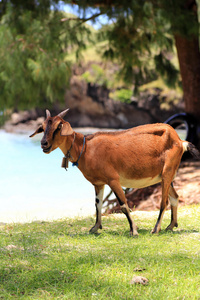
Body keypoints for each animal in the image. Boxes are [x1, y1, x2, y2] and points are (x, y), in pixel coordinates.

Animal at [30, 109, 200, 236]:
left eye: (59, 127)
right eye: (42, 127)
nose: (44, 143)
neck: (85, 148)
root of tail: (180, 141)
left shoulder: (113, 179)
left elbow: (124, 205)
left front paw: (133, 231)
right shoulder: (98, 183)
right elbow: (97, 204)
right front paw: (95, 228)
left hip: (167, 172)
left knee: (164, 201)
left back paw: (155, 229)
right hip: (166, 176)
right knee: (175, 197)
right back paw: (170, 226)